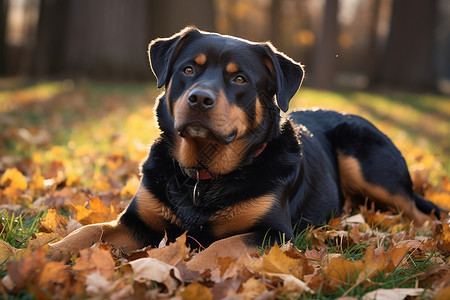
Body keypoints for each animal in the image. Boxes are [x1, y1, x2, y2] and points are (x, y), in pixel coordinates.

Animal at [49, 27, 442, 268]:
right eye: (188, 70)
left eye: (239, 79)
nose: (200, 99)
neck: (204, 176)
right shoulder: (137, 221)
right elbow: (92, 231)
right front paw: (48, 252)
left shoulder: (274, 233)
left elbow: (218, 248)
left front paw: (179, 270)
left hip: (367, 165)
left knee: (419, 212)